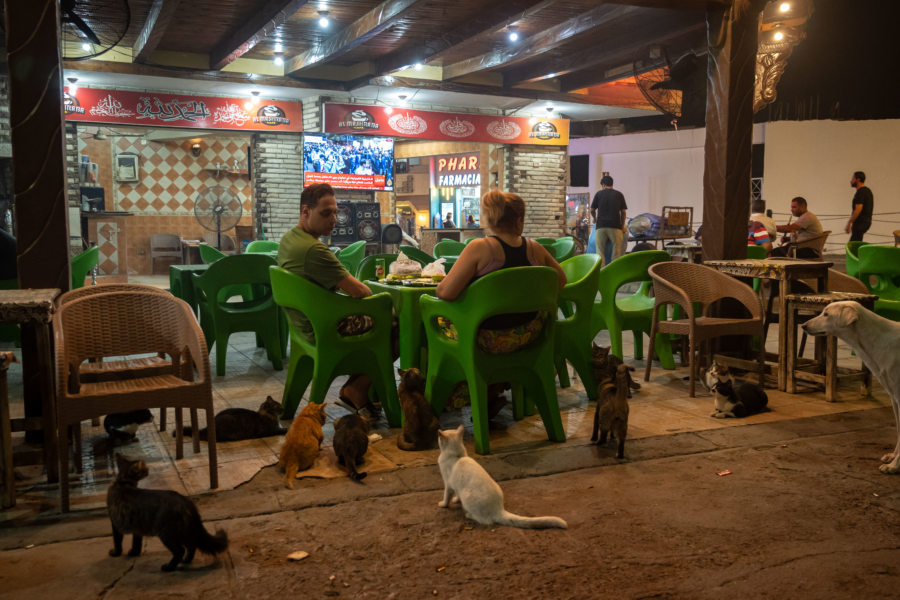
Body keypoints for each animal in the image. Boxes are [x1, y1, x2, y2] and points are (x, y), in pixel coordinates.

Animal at [440, 422, 568, 528]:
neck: (457, 456)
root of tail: (499, 510)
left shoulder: (448, 484)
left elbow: (446, 496)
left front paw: (443, 504)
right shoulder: (455, 486)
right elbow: (456, 494)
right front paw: (456, 500)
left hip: (468, 497)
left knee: (485, 521)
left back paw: (468, 515)